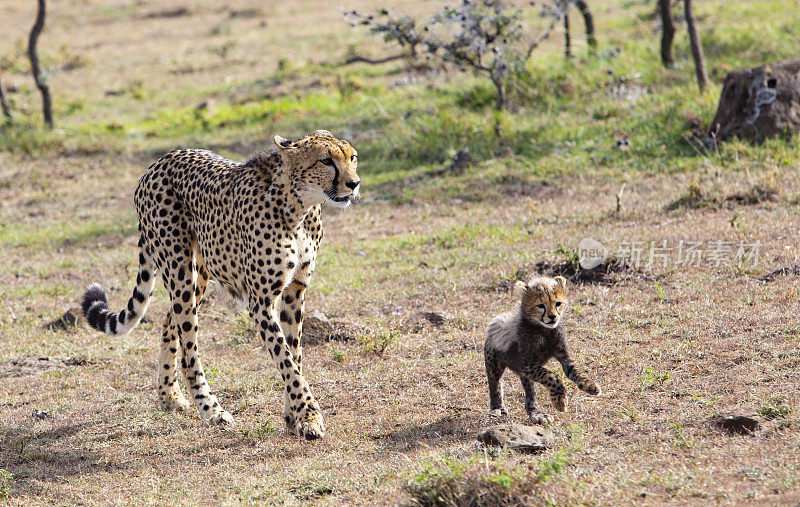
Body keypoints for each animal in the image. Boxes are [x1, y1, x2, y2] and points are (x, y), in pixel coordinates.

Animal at [80, 131, 360, 440]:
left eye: (352, 157)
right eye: (326, 161)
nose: (354, 183)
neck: (299, 208)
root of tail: (161, 160)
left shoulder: (295, 291)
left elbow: (295, 354)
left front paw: (294, 416)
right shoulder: (261, 301)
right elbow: (285, 358)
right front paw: (309, 415)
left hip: (200, 273)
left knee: (169, 322)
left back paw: (169, 396)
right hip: (179, 270)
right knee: (188, 345)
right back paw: (210, 409)